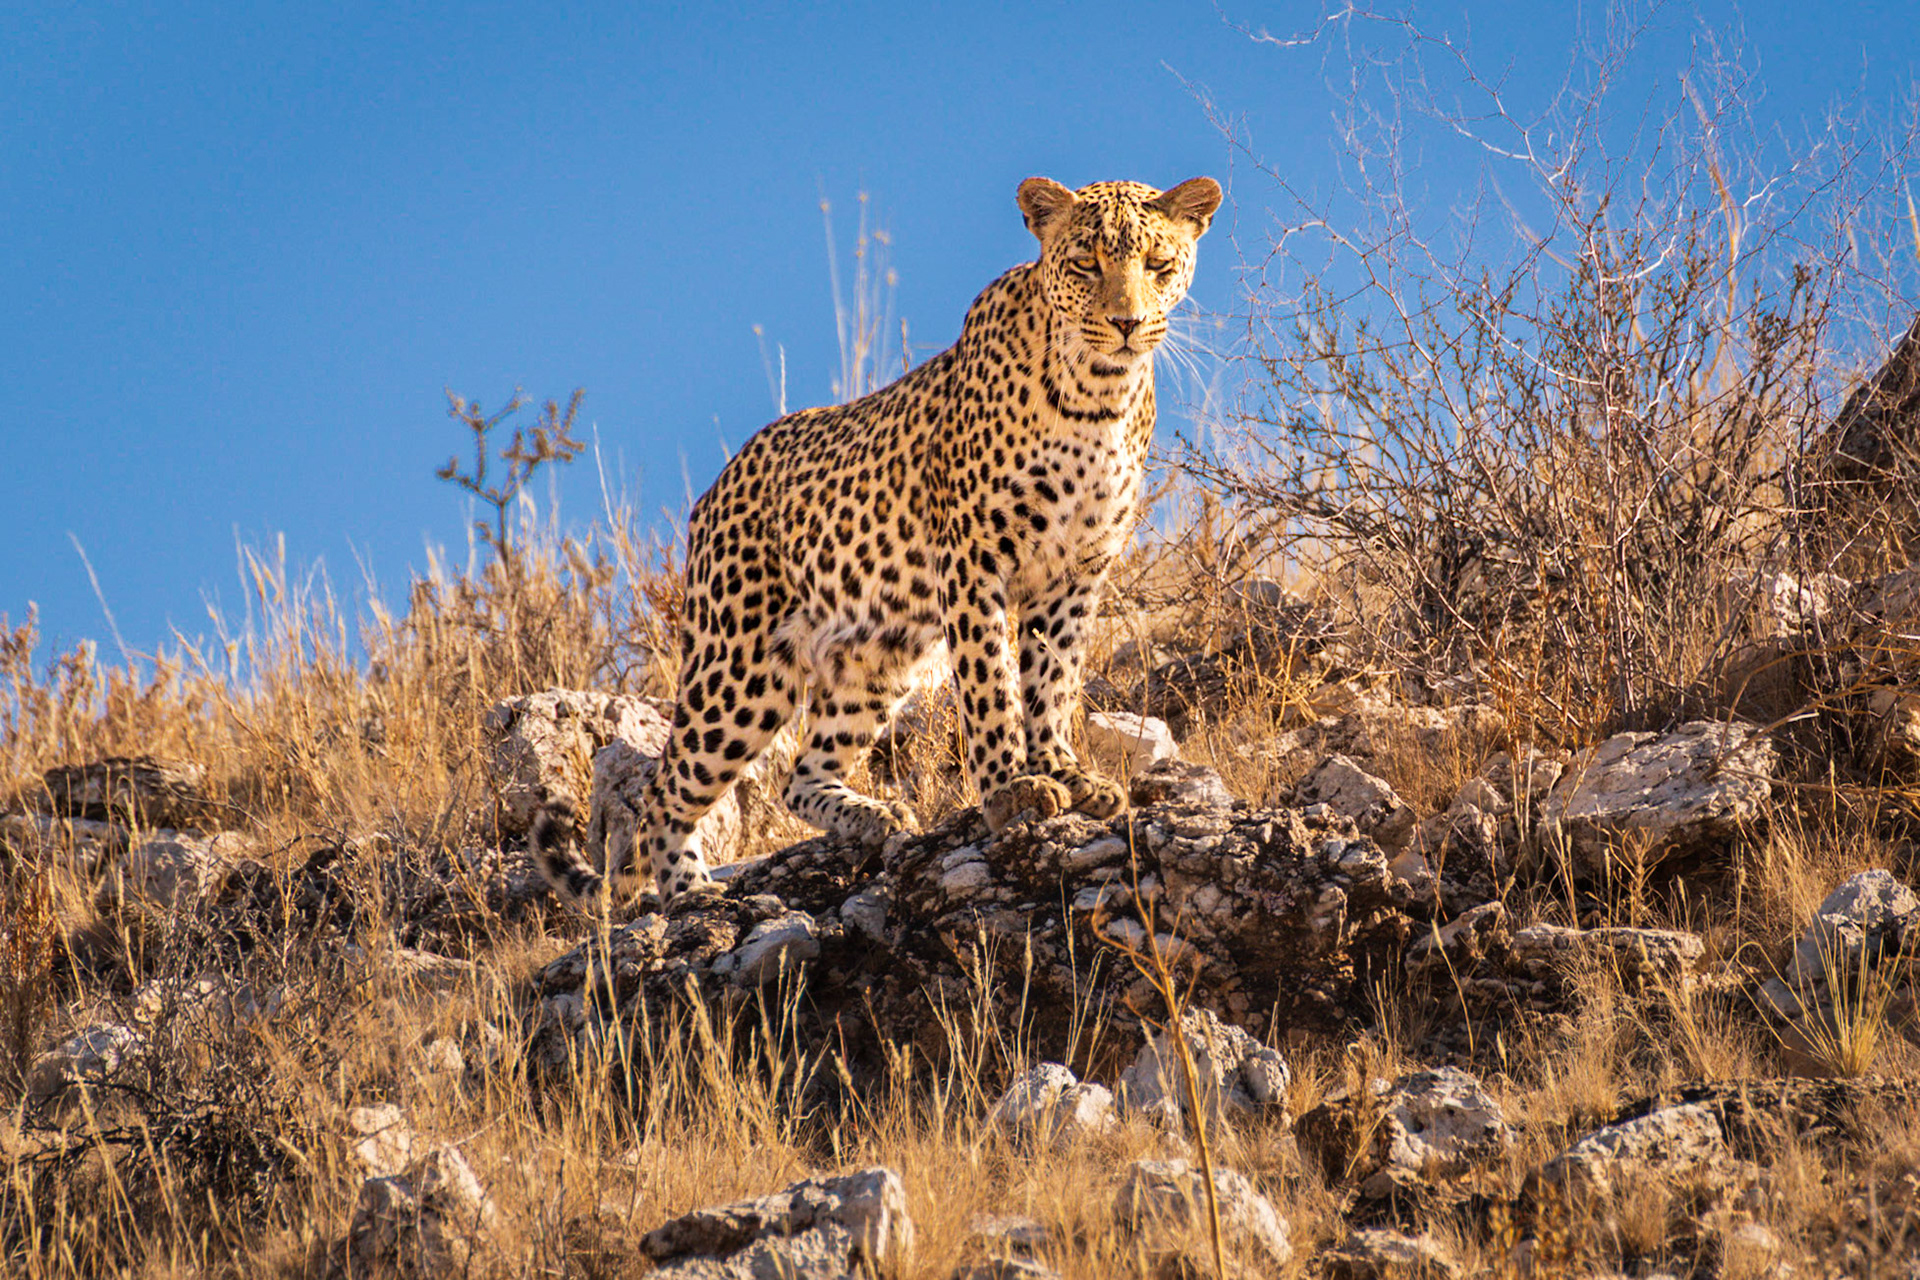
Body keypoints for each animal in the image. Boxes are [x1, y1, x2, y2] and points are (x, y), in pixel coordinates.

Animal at [538, 174, 1222, 906]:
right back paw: (692, 894)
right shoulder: (974, 558)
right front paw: (1011, 788)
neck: (1099, 396)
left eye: (1158, 264)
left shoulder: (1075, 573)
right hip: (738, 669)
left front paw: (1063, 771)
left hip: (874, 656)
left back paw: (874, 818)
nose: (1126, 325)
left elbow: (1053, 680)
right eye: (1086, 264)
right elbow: (989, 684)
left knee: (800, 774)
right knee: (665, 789)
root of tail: (715, 490)